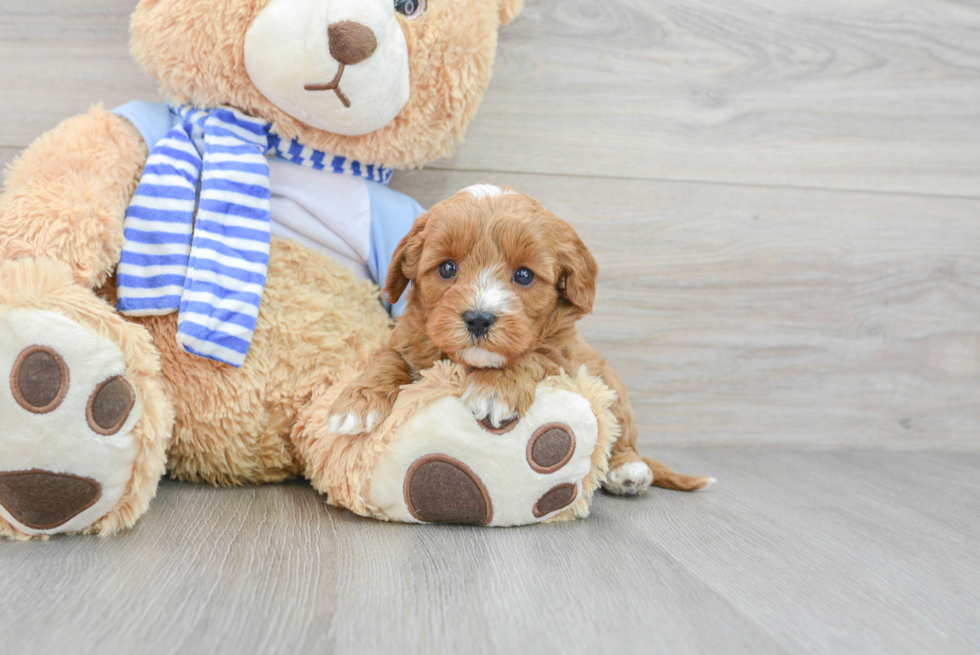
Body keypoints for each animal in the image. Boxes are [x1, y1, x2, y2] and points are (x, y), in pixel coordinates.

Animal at [330, 184, 712, 492]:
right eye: (447, 268)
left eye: (525, 275)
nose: (479, 318)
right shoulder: (408, 340)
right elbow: (386, 358)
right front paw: (356, 402)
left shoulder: (562, 357)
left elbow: (532, 355)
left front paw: (495, 388)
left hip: (613, 390)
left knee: (623, 437)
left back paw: (629, 471)